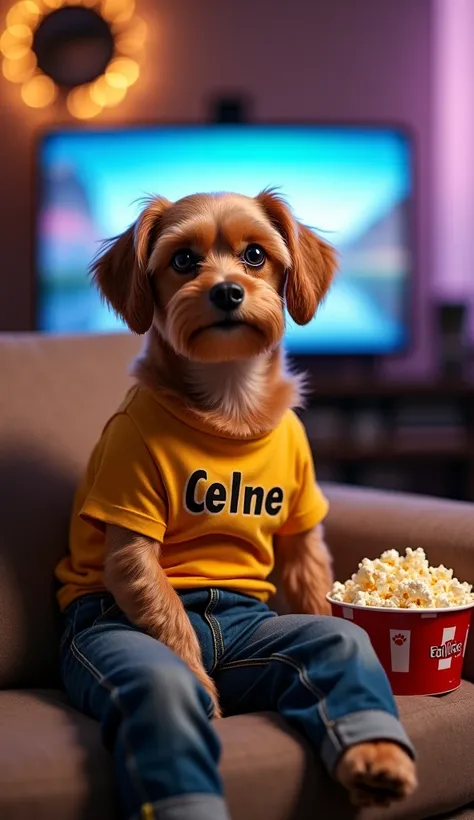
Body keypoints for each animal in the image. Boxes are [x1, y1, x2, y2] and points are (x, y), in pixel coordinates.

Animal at [90, 187, 416, 808]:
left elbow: (312, 583)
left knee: (339, 643)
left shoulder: (302, 524)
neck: (229, 399)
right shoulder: (129, 520)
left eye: (255, 256)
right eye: (183, 260)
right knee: (159, 689)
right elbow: (165, 611)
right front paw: (205, 695)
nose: (227, 290)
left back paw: (378, 763)